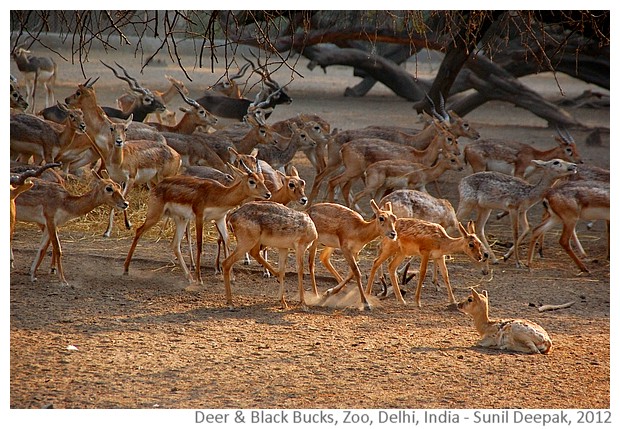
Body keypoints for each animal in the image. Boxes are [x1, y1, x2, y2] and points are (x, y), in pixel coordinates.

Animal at [124, 160, 272, 284]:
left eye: (263, 179)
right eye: (252, 181)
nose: (268, 194)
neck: (218, 194)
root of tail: (157, 186)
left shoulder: (220, 218)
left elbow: (227, 241)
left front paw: (232, 277)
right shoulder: (199, 217)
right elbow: (200, 245)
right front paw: (200, 278)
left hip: (181, 220)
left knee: (175, 244)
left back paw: (189, 278)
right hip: (155, 215)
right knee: (139, 231)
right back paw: (126, 269)